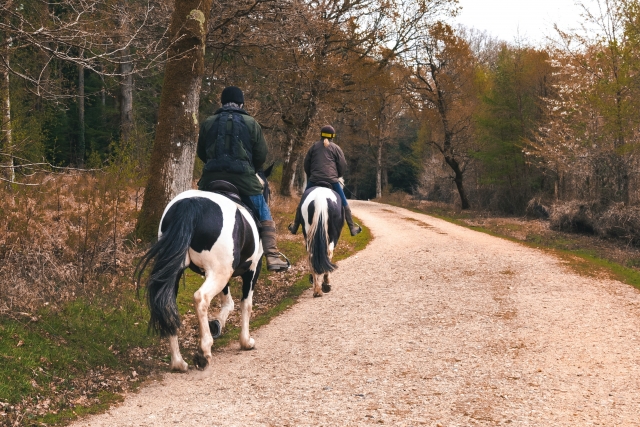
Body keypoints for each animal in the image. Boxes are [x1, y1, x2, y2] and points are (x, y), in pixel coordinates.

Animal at [135, 167, 275, 371]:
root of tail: (191, 204)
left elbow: (228, 302)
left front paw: (217, 324)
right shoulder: (252, 270)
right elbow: (246, 305)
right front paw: (246, 341)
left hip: (179, 272)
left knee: (168, 304)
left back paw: (178, 362)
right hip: (219, 273)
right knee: (201, 298)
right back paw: (203, 352)